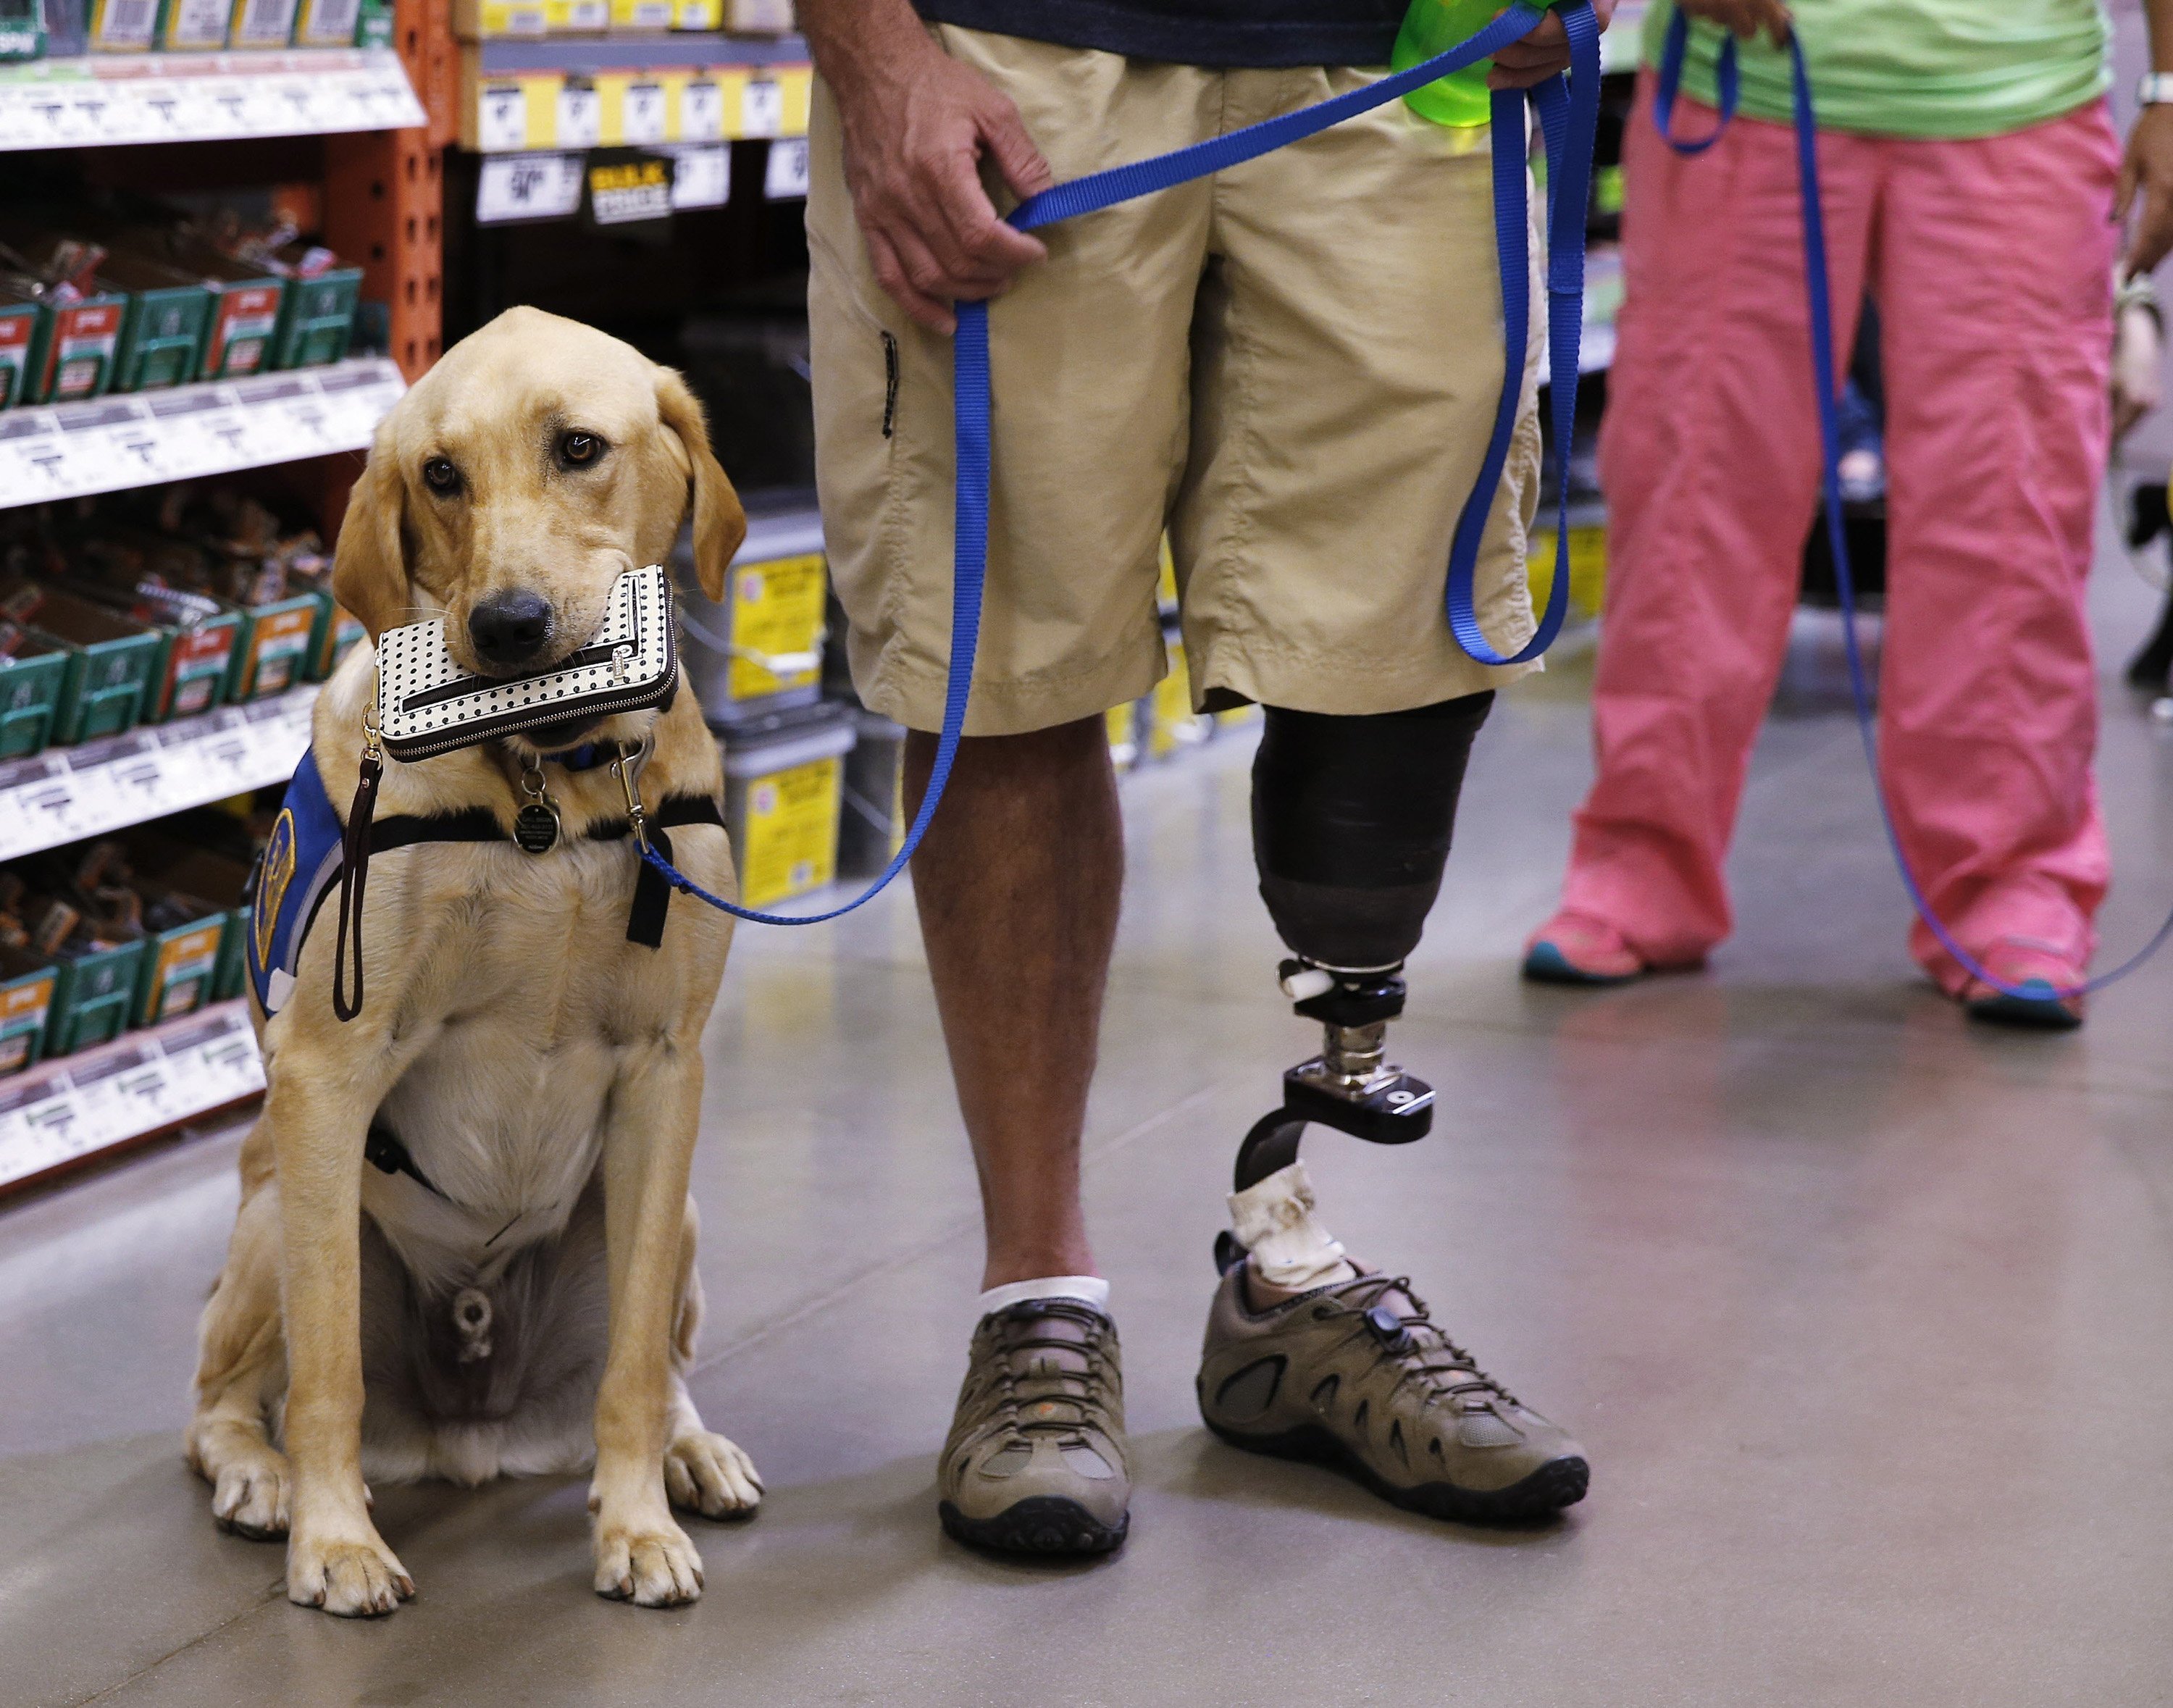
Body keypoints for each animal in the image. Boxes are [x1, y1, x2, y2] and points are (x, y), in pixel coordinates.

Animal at [189, 306, 765, 1608]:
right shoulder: (329, 1076)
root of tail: (475, 1432)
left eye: (580, 447)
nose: (507, 626)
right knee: (225, 1396)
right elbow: (329, 1376)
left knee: (660, 1363)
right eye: (439, 475)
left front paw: (636, 1522)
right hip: (273, 1214)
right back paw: (261, 1478)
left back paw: (692, 1449)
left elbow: (633, 1369)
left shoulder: (667, 1071)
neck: (551, 783)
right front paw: (336, 1540)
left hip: (682, 1208)